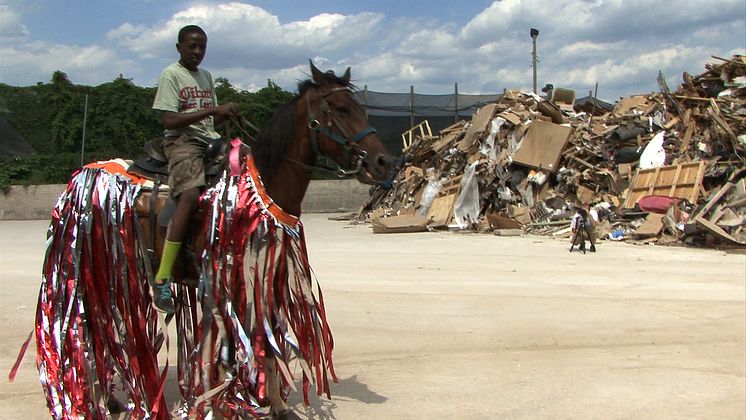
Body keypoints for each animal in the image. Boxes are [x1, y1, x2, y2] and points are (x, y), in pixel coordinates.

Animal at [33, 60, 396, 418]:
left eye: (362, 108)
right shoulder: (223, 284)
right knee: (91, 328)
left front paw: (277, 405)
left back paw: (111, 399)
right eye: (341, 108)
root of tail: (80, 177)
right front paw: (220, 405)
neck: (261, 190)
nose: (384, 162)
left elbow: (266, 341)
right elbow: (224, 353)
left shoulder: (265, 278)